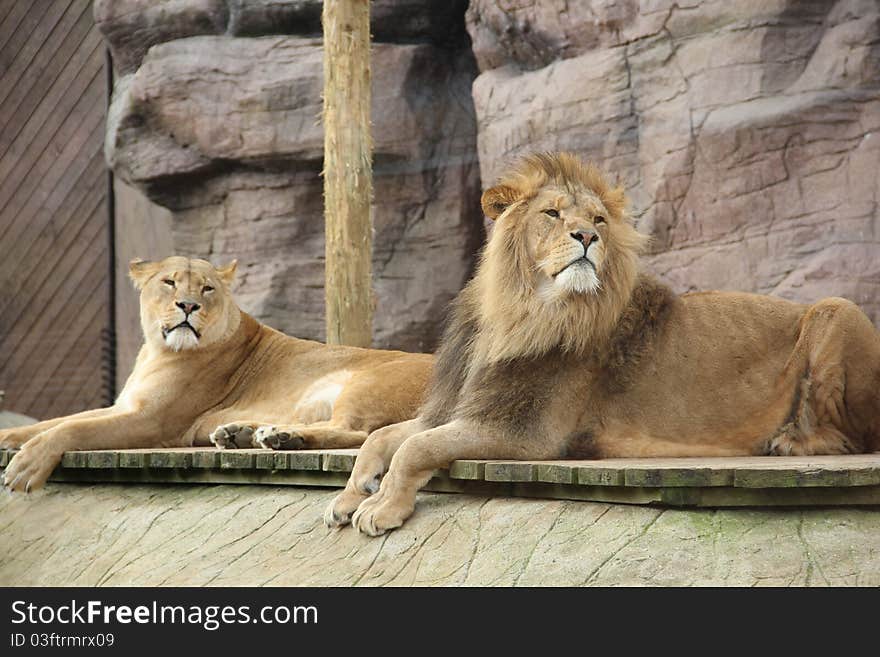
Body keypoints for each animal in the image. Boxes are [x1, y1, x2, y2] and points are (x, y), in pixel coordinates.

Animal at [0, 256, 434, 492]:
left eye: (207, 288)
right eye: (169, 282)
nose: (188, 305)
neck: (157, 350)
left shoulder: (152, 421)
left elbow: (73, 429)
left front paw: (26, 466)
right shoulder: (124, 405)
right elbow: (59, 420)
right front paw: (9, 437)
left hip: (365, 383)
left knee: (357, 433)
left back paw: (281, 437)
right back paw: (246, 434)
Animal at [328, 152, 880, 532]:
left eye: (596, 219)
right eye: (552, 214)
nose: (587, 238)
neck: (516, 311)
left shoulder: (524, 432)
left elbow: (415, 447)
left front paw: (381, 507)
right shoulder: (456, 407)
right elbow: (384, 437)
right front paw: (351, 495)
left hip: (837, 310)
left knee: (853, 436)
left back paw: (786, 440)